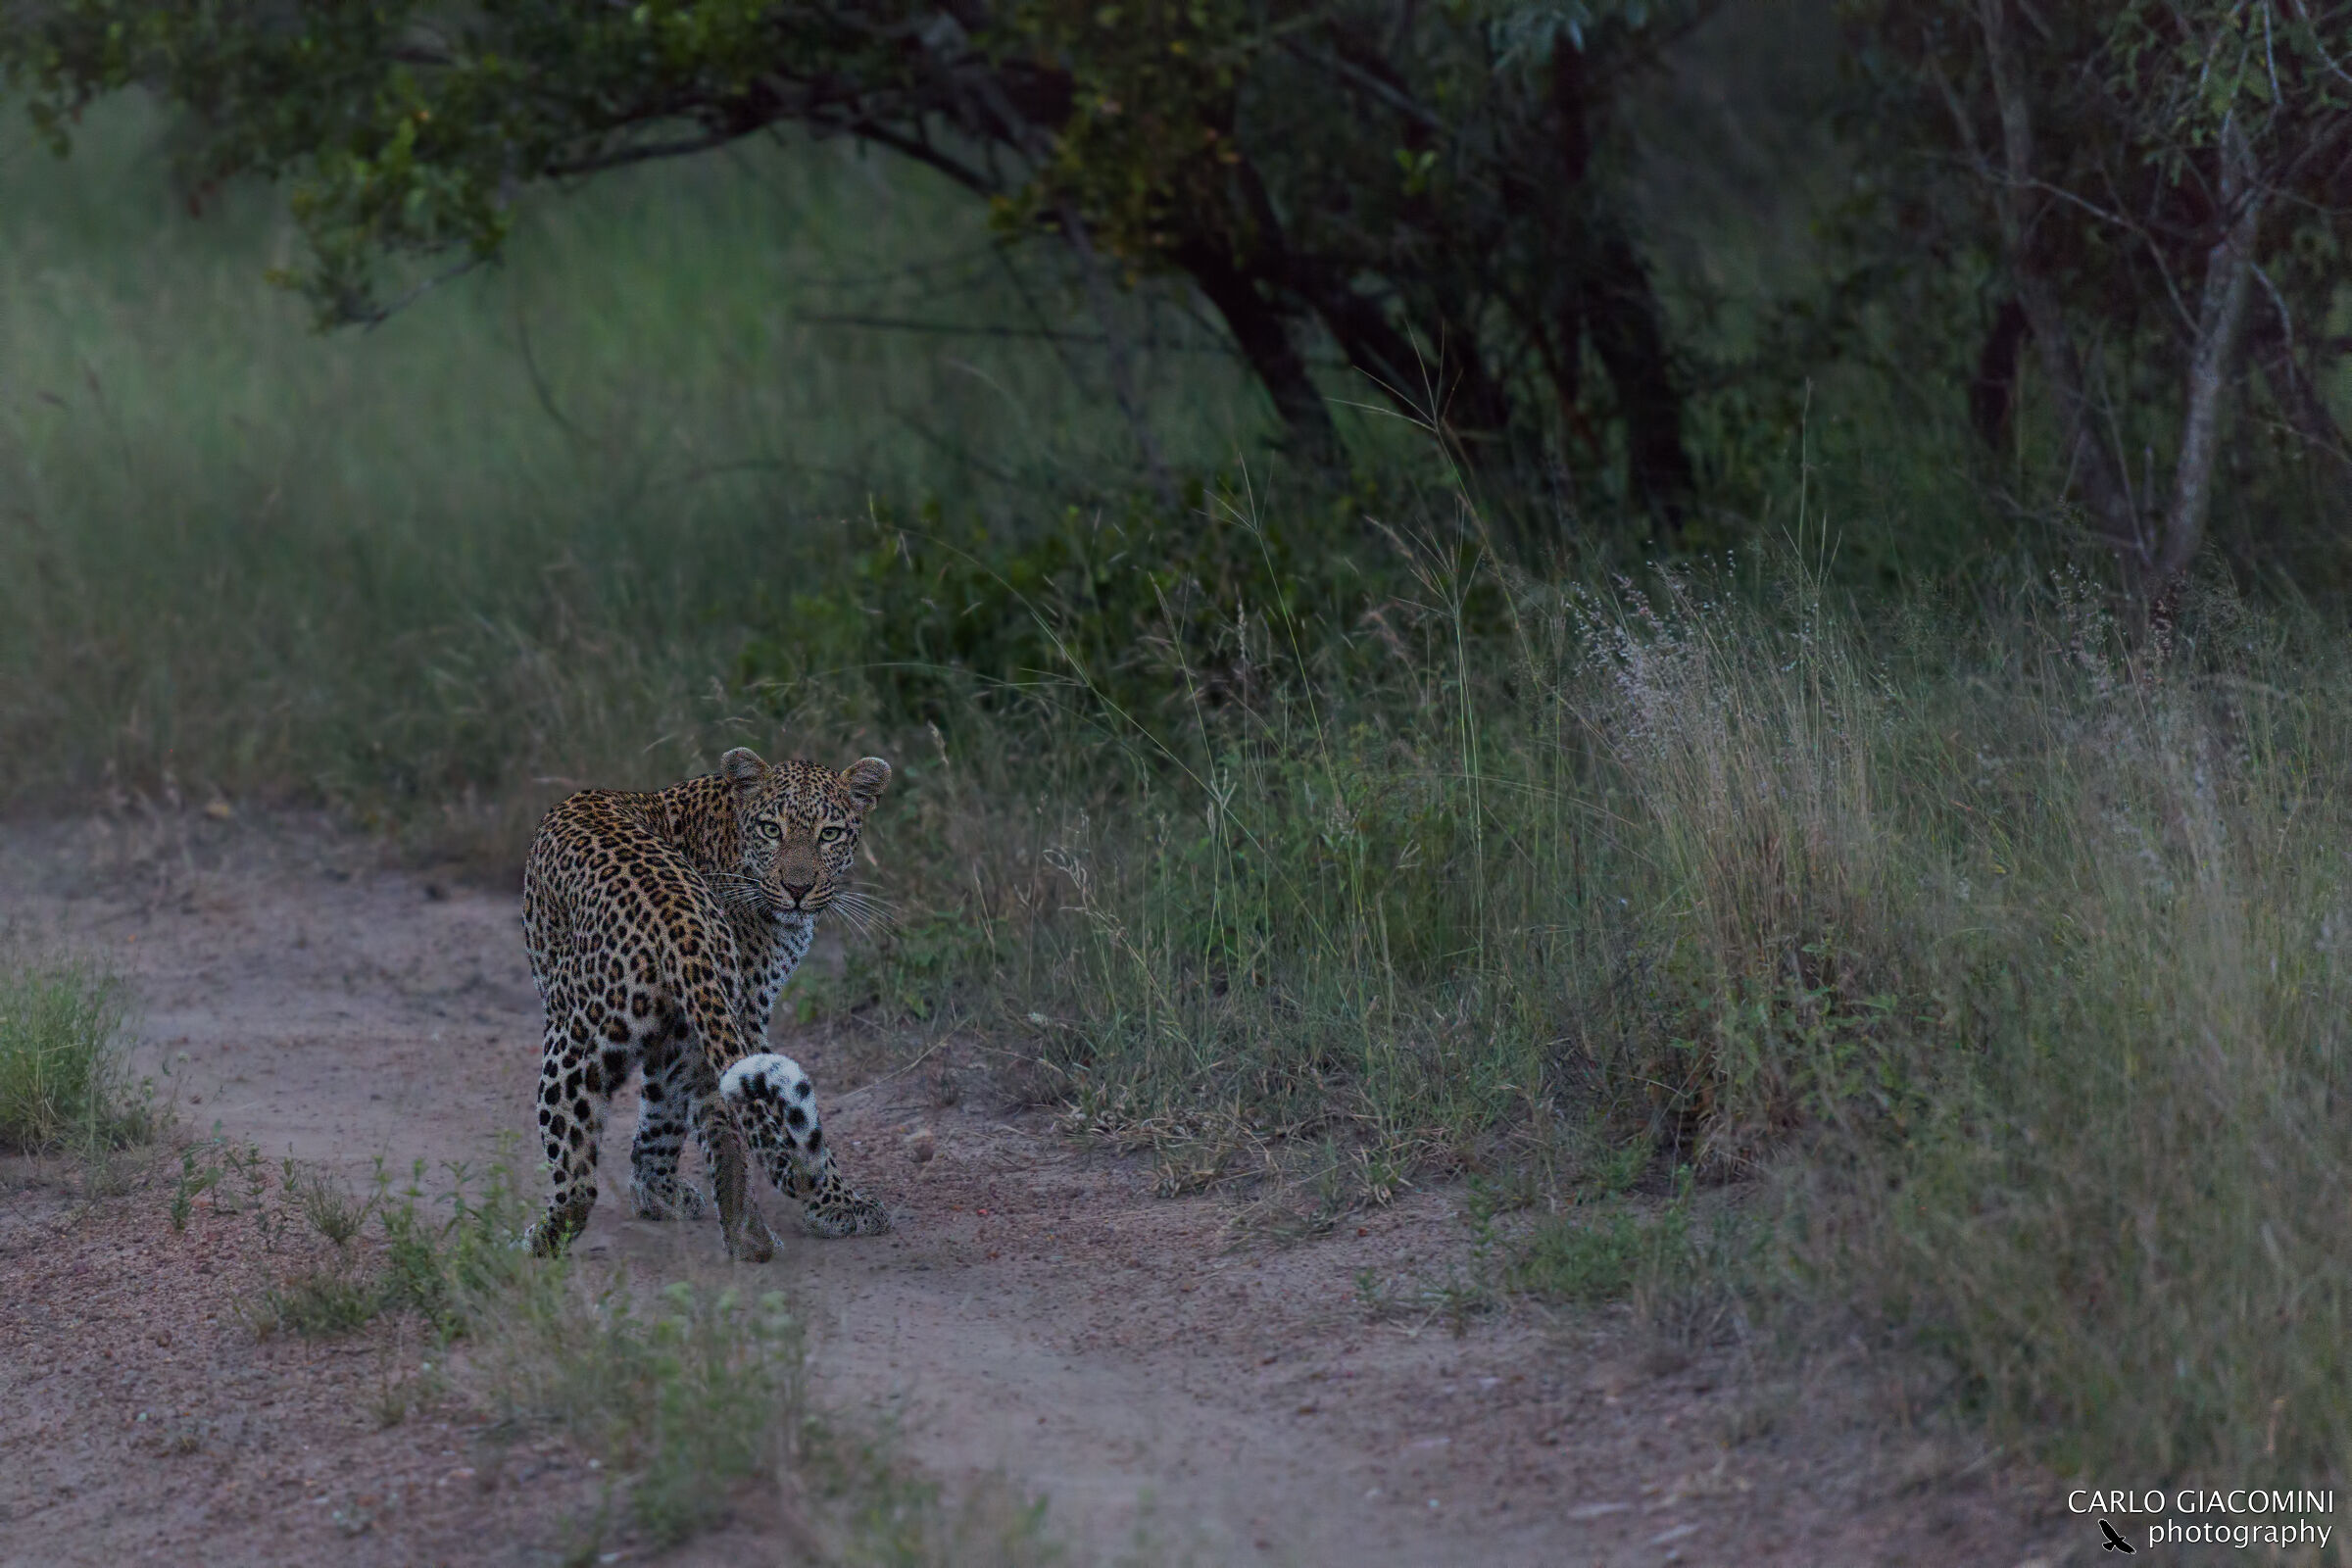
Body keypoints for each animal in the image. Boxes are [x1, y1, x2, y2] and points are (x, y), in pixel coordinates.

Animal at [519, 744, 894, 1260]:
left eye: (829, 834)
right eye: (771, 829)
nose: (797, 890)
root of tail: (674, 912)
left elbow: (666, 1113)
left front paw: (655, 1194)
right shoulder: (724, 1016)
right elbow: (671, 1111)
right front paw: (657, 1194)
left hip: (575, 1037)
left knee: (579, 1178)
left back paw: (537, 1243)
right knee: (721, 1119)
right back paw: (749, 1235)